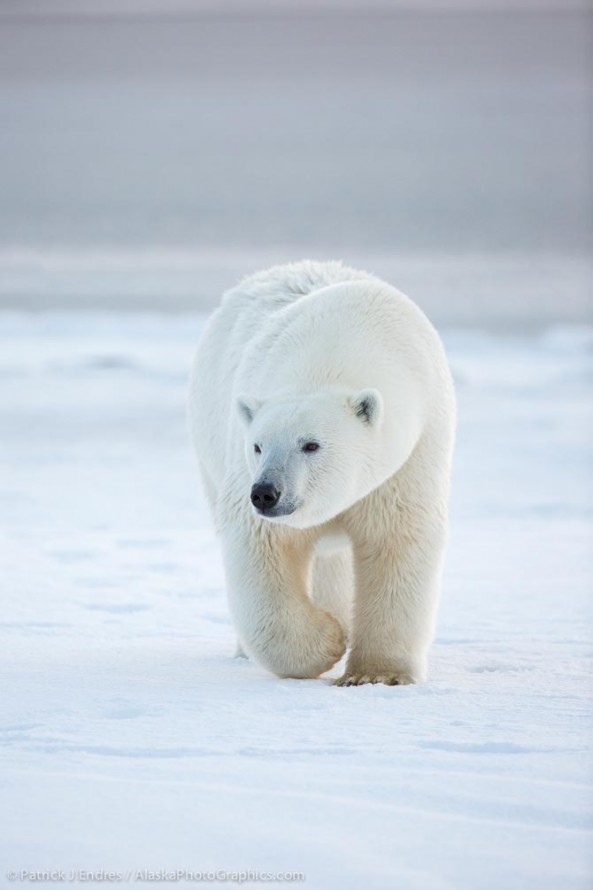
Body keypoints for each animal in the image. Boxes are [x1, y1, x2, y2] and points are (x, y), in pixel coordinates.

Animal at [187, 260, 456, 684]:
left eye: (311, 444)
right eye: (257, 445)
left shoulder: (410, 455)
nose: (265, 493)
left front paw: (376, 675)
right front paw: (328, 639)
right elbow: (262, 544)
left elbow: (397, 537)